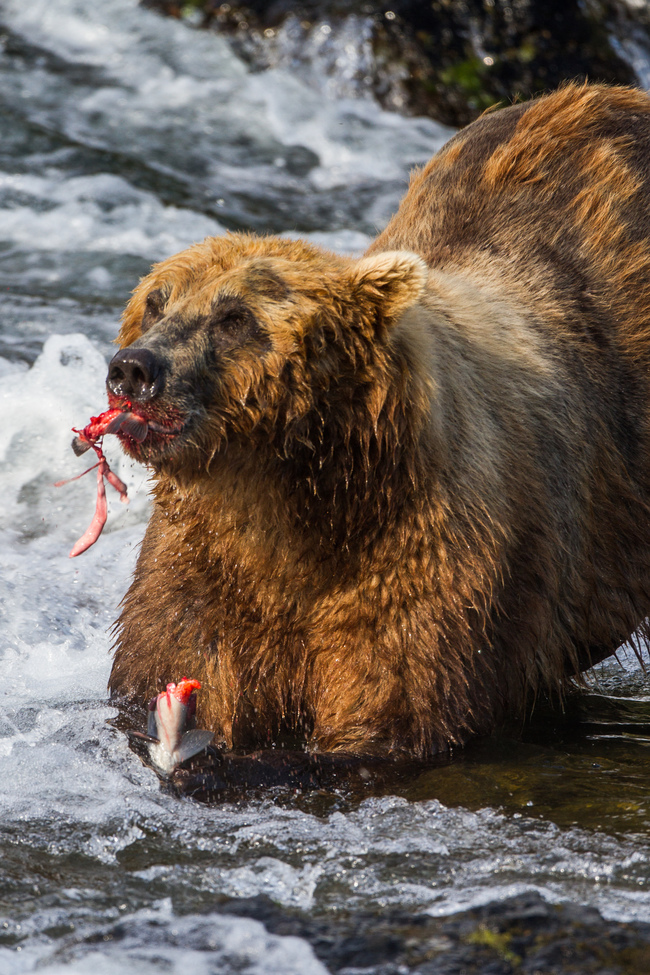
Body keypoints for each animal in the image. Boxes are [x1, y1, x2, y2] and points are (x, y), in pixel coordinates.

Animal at [108, 82, 650, 759]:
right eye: (157, 300)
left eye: (234, 318)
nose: (134, 369)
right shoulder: (200, 573)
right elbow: (168, 661)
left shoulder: (427, 565)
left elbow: (394, 712)